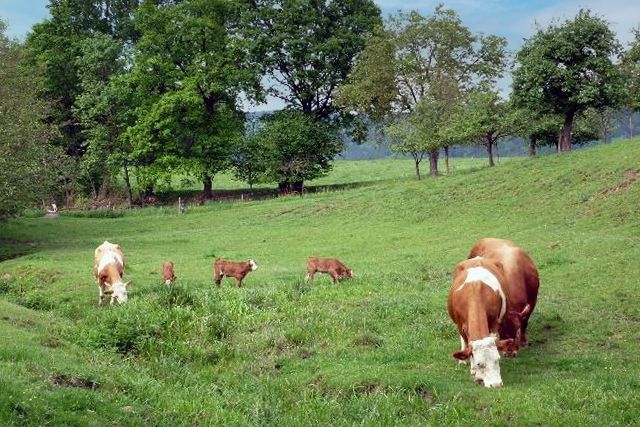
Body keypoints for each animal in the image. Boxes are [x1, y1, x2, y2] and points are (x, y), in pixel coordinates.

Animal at [448, 256, 516, 390]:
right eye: (480, 364)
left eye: (497, 359)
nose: (496, 384)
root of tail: (477, 258)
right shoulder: (460, 325)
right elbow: (467, 344)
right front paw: (473, 370)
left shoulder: (494, 322)